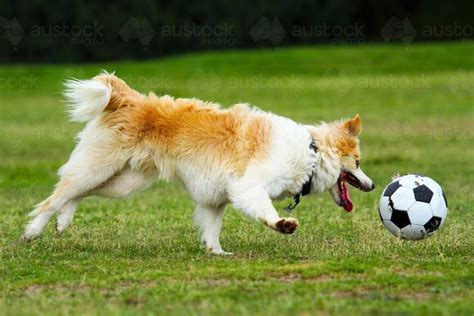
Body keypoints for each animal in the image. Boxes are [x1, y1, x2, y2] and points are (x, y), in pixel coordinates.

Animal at [23, 72, 374, 254]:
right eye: (357, 162)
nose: (372, 186)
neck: (312, 153)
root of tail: (129, 99)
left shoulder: (216, 197)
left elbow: (212, 229)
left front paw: (217, 253)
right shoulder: (247, 187)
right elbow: (265, 209)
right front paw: (282, 224)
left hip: (123, 182)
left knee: (75, 195)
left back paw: (63, 222)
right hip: (100, 167)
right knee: (55, 197)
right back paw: (33, 232)